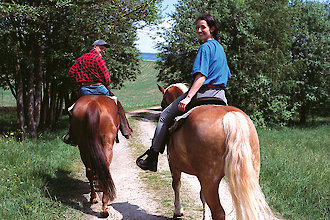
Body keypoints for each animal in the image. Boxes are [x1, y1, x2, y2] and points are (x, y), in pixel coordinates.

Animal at [157, 83, 276, 220]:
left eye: (163, 102)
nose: (162, 108)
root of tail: (231, 116)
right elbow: (200, 195)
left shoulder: (173, 165)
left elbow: (176, 185)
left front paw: (178, 210)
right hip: (251, 175)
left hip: (210, 179)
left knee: (219, 212)